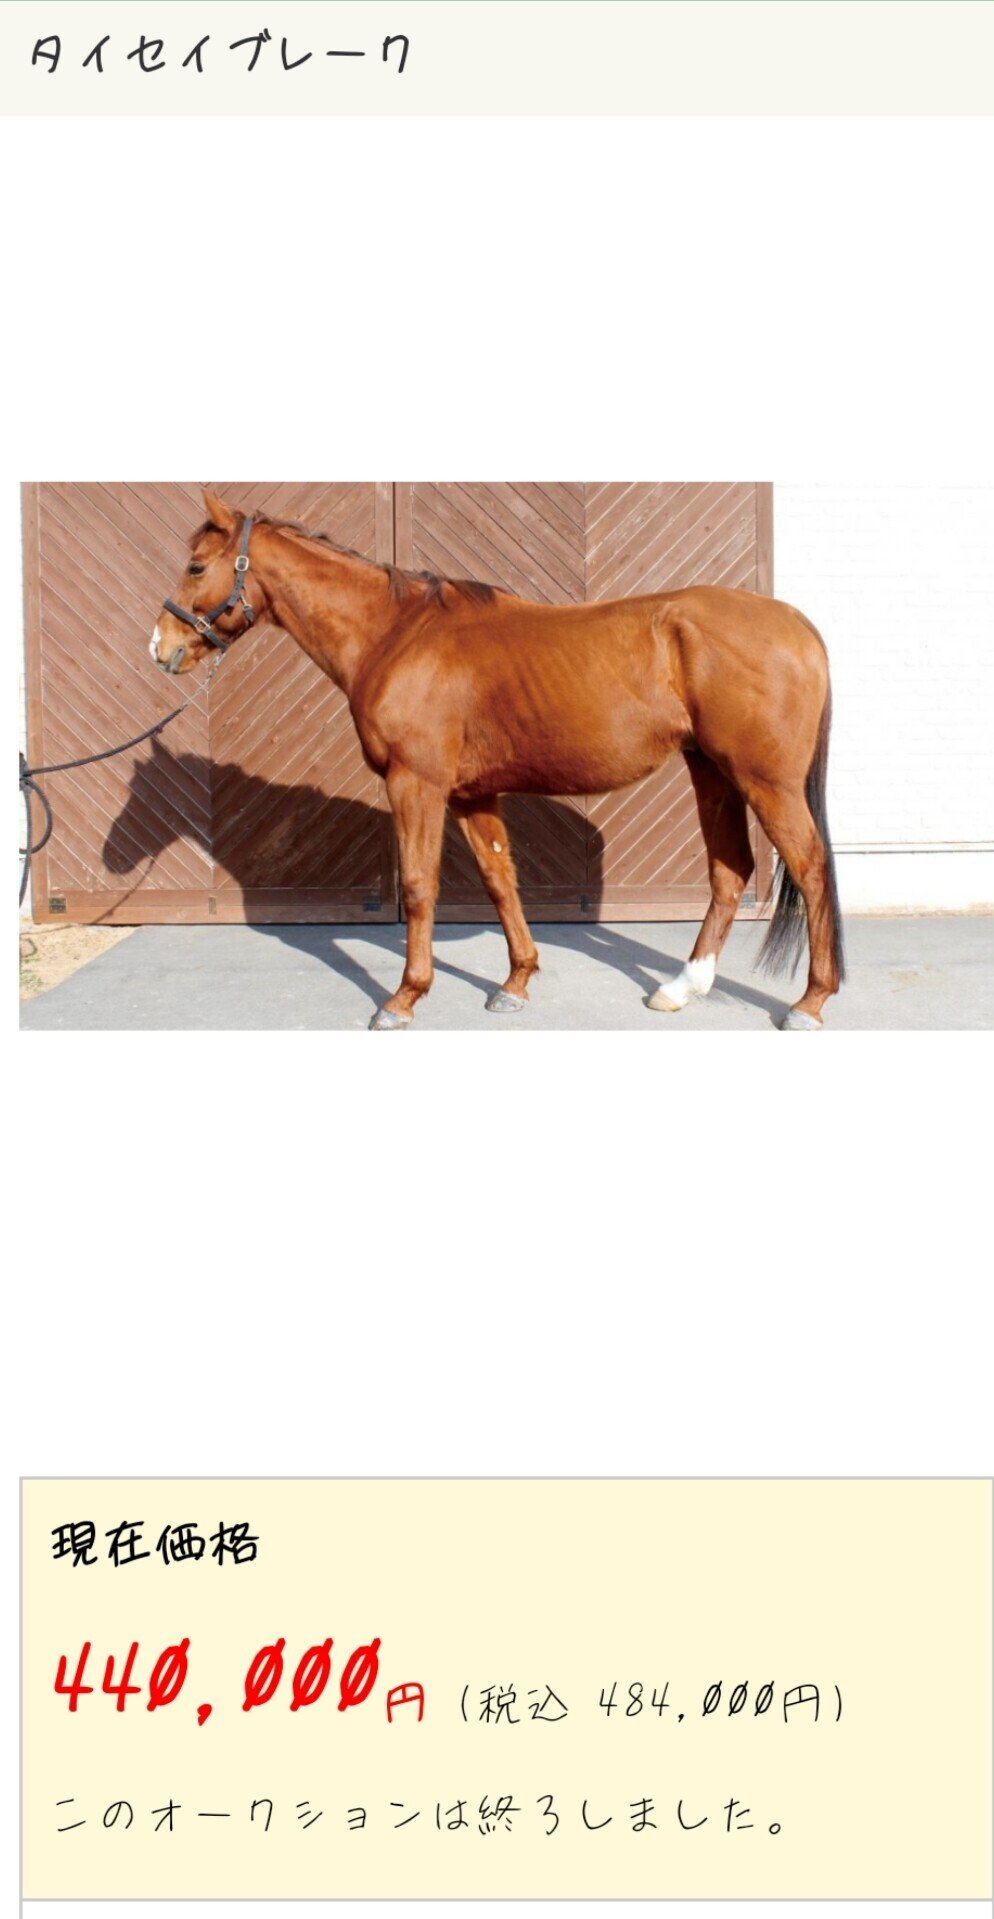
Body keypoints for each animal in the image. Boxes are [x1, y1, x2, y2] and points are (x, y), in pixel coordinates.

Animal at [151, 490, 845, 1030]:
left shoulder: (417, 785)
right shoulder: (470, 795)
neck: (395, 636)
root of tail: (798, 624)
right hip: (712, 771)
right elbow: (499, 880)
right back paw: (680, 988)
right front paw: (515, 984)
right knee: (731, 871)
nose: (161, 647)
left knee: (810, 867)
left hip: (765, 781)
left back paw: (810, 1002)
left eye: (195, 565)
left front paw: (403, 999)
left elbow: (419, 886)